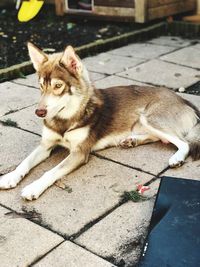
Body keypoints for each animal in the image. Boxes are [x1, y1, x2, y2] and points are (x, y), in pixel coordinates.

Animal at [0, 43, 200, 200]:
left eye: (58, 86)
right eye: (41, 86)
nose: (39, 112)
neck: (65, 121)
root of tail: (184, 99)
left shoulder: (79, 153)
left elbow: (51, 171)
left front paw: (34, 187)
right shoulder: (45, 145)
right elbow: (25, 162)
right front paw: (10, 177)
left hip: (150, 117)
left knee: (183, 142)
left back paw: (176, 158)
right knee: (158, 137)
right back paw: (131, 140)